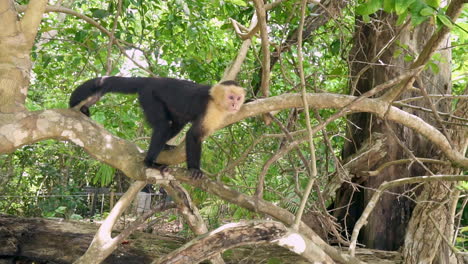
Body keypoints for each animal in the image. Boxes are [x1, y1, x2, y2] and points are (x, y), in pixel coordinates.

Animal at [70, 77, 245, 179]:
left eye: (238, 98)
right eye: (231, 97)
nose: (235, 105)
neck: (216, 102)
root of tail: (151, 79)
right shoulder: (211, 110)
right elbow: (194, 135)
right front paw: (194, 169)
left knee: (176, 124)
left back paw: (166, 145)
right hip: (149, 95)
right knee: (162, 125)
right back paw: (150, 163)